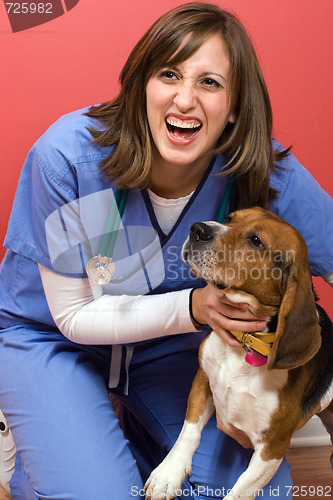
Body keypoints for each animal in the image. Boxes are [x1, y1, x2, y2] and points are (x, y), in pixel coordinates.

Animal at [143, 207, 332, 500]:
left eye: (256, 241)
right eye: (230, 218)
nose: (197, 229)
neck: (244, 346)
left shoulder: (272, 448)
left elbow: (240, 490)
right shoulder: (203, 379)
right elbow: (188, 433)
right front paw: (168, 474)